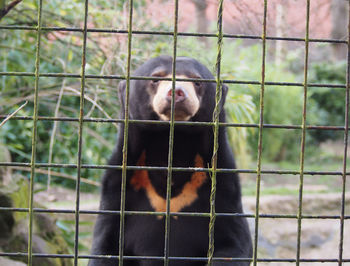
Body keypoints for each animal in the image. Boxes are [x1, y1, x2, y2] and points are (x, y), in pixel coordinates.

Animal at [87, 55, 252, 264]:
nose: (177, 92)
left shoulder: (224, 185)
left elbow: (233, 243)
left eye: (197, 81)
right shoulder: (118, 185)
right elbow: (106, 245)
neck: (170, 146)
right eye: (156, 78)